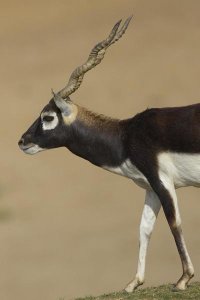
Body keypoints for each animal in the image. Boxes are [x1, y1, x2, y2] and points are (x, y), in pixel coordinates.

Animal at [18, 17, 197, 292]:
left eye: (47, 117)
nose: (22, 141)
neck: (125, 135)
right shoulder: (150, 187)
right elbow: (144, 229)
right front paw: (134, 283)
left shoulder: (162, 181)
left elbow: (174, 223)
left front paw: (183, 278)